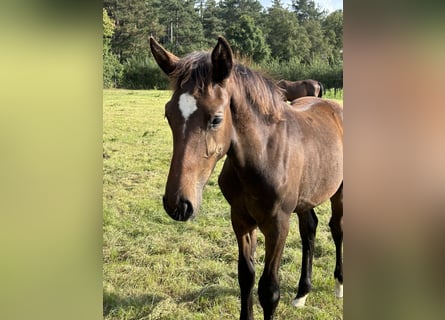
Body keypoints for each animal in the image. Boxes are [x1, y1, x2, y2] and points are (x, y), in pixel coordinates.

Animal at [150, 35, 344, 320]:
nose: (178, 205)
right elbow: (246, 277)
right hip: (306, 196)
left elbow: (269, 290)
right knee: (309, 229)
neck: (263, 156)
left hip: (339, 192)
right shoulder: (241, 219)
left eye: (216, 119)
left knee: (337, 228)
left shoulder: (277, 225)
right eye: (168, 114)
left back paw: (339, 284)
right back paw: (301, 293)